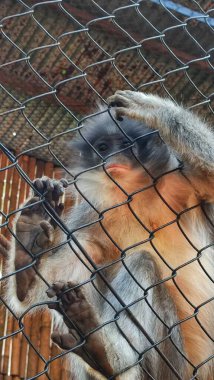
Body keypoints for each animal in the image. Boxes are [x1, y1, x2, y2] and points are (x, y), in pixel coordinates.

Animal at [0, 90, 214, 378]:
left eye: (125, 144)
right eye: (103, 147)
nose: (112, 159)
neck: (137, 193)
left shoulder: (182, 182)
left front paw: (154, 110)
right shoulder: (95, 214)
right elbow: (74, 260)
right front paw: (27, 257)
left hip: (172, 361)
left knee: (140, 261)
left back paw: (104, 352)